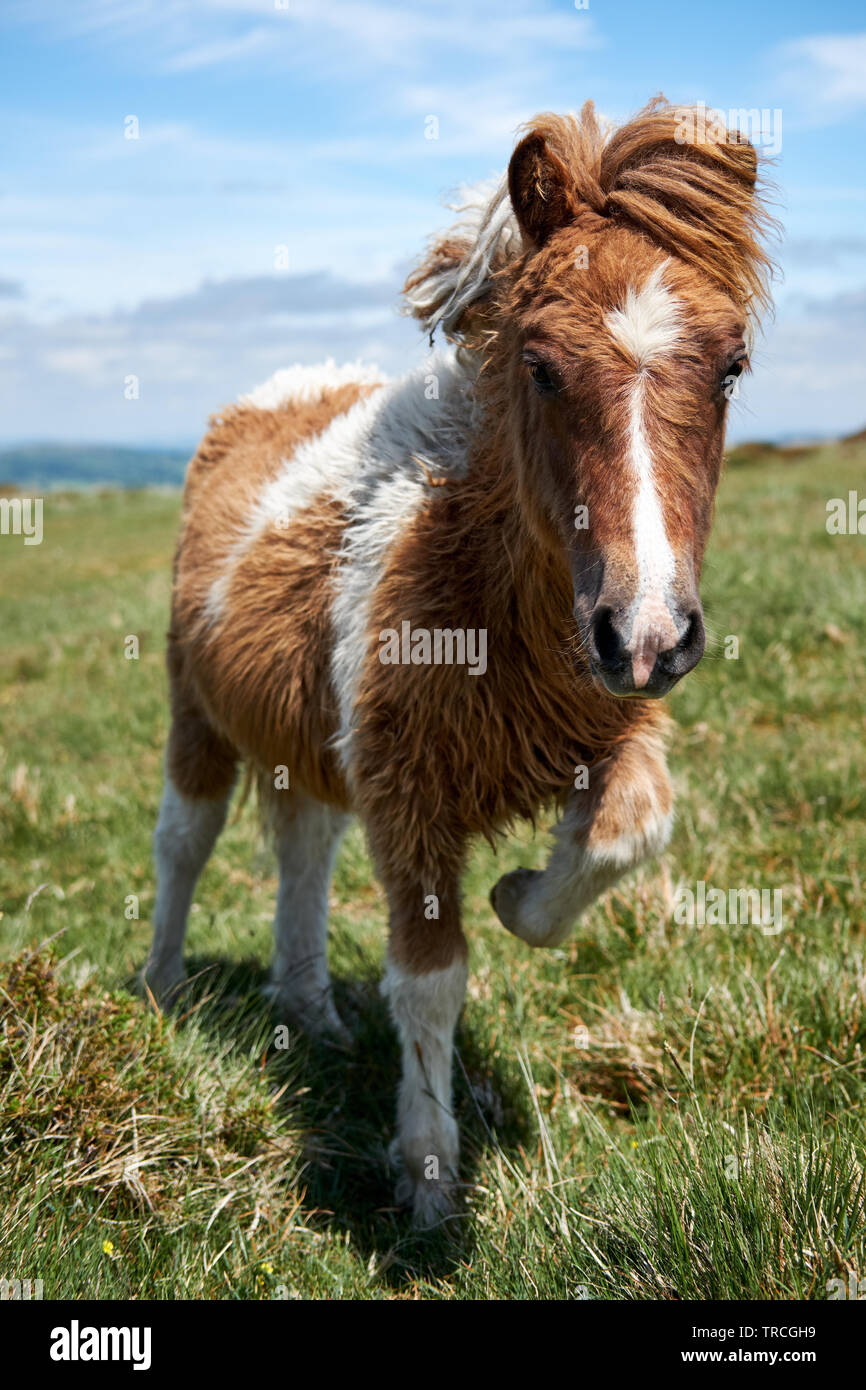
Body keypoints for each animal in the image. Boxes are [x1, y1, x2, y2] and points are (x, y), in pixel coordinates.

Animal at [144, 98, 775, 1227]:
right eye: (538, 364)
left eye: (731, 365)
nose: (647, 633)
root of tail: (270, 392)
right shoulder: (409, 793)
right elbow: (431, 978)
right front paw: (429, 1174)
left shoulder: (603, 726)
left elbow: (631, 832)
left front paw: (522, 895)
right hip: (197, 711)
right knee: (185, 839)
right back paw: (165, 988)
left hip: (313, 735)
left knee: (303, 846)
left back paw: (309, 1010)